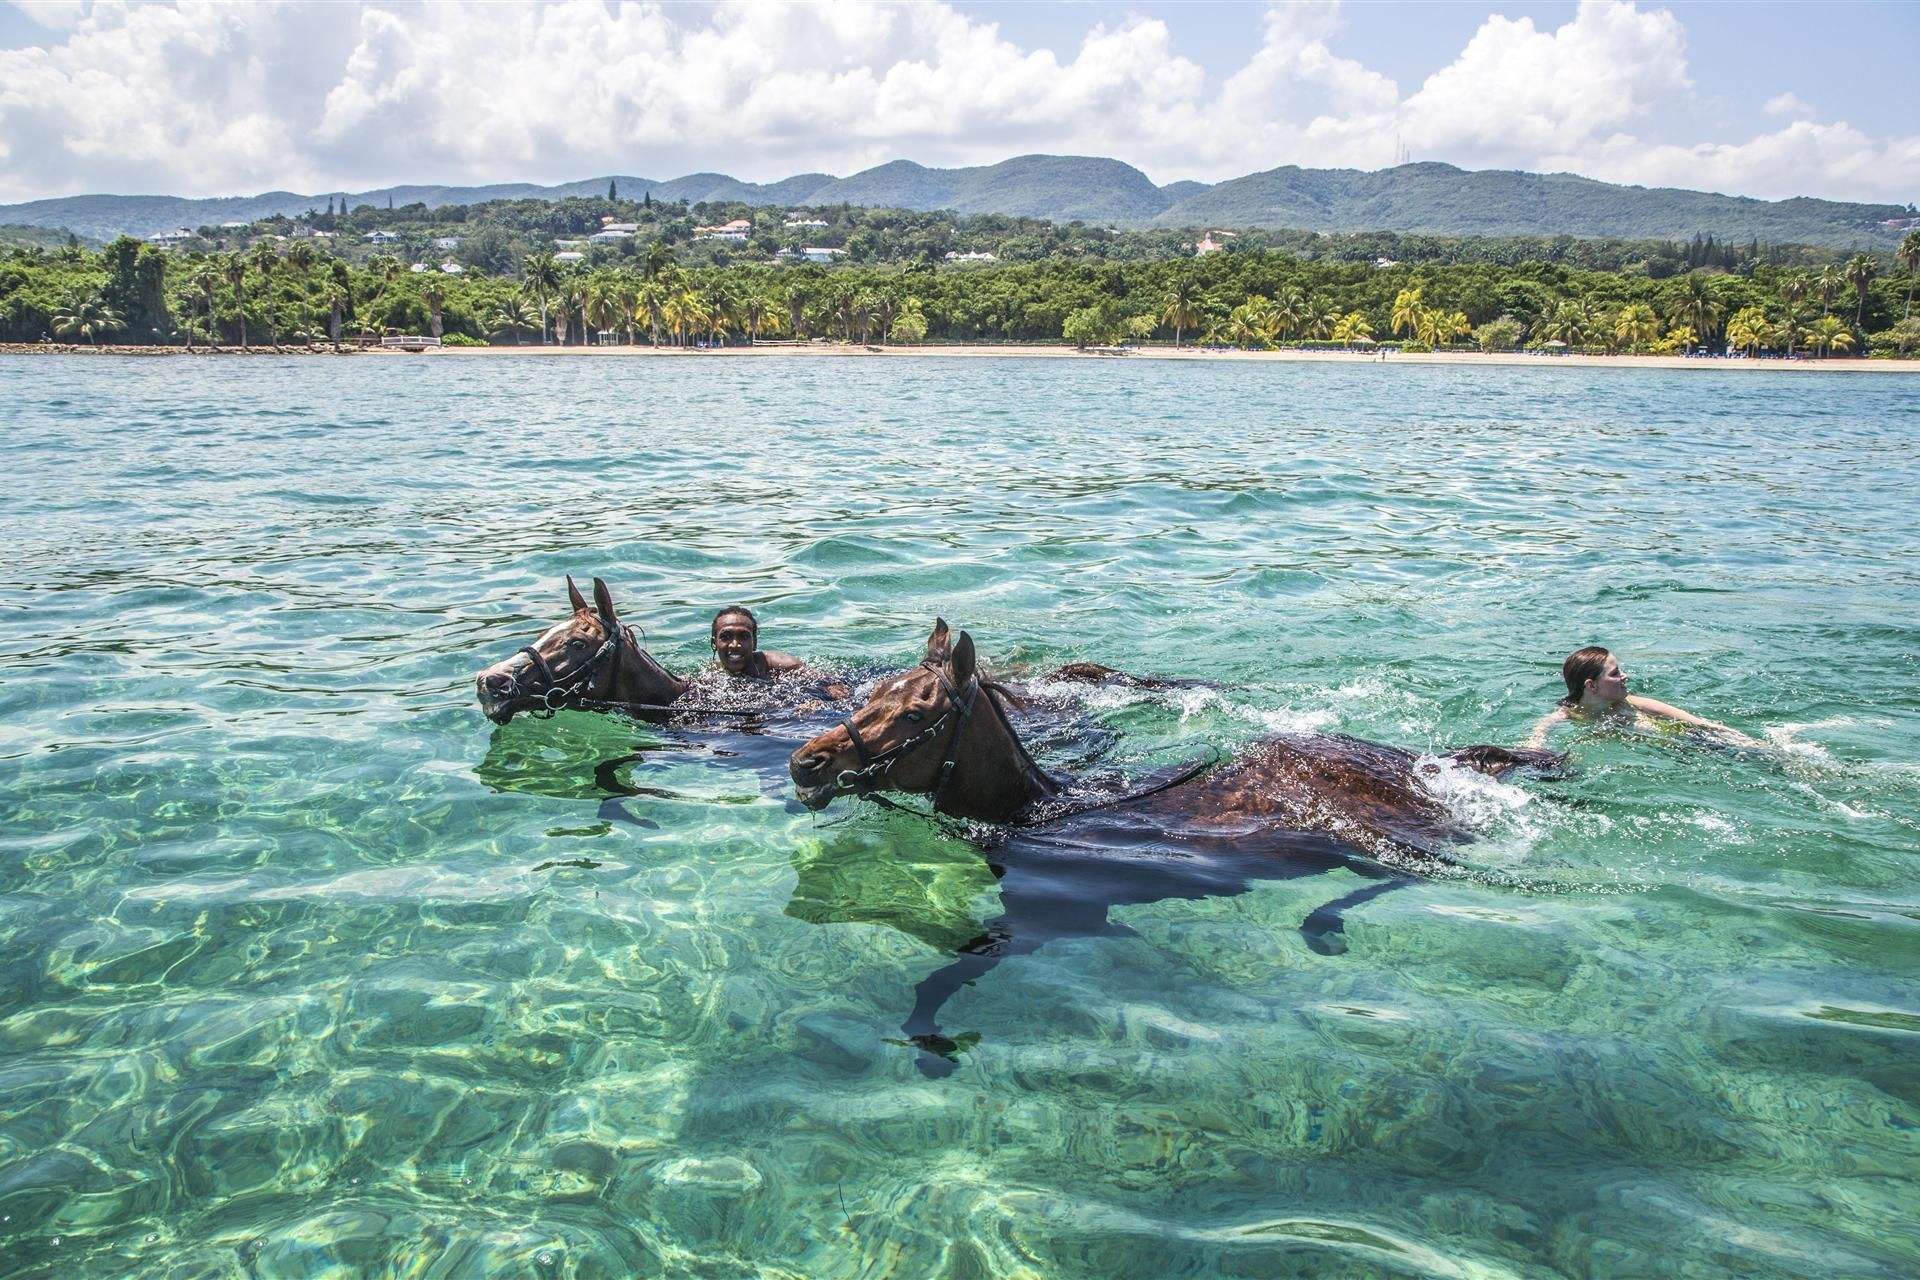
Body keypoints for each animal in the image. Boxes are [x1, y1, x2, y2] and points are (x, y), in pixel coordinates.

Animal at [788, 619, 1562, 1075]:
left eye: (916, 711)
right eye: (872, 693)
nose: (806, 763)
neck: (1044, 812)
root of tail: (1425, 761)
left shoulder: (1053, 921)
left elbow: (940, 979)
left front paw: (930, 1043)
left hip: (1381, 840)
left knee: (1416, 877)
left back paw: (1323, 924)